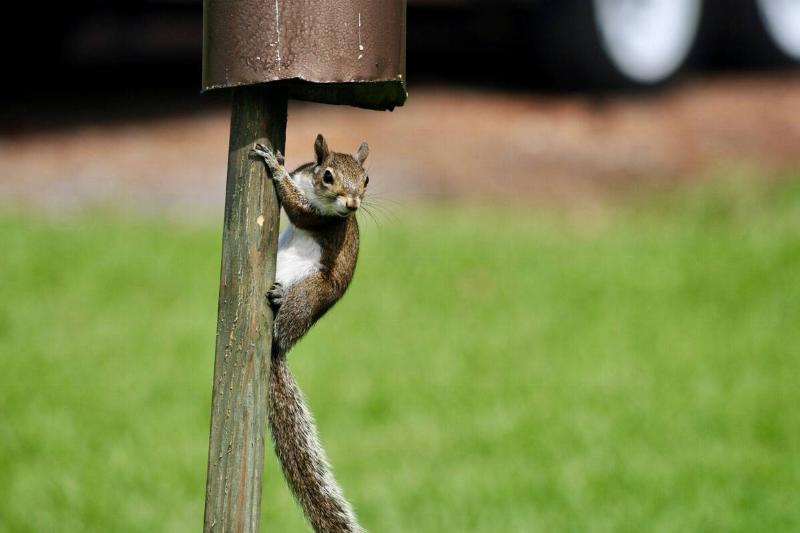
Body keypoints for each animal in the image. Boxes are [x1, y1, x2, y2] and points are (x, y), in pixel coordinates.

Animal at [252, 134, 370, 533]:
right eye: (328, 175)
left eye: (366, 180)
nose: (352, 204)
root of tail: (279, 349)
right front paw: (280, 159)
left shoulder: (320, 218)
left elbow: (297, 208)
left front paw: (273, 165)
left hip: (308, 292)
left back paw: (278, 301)